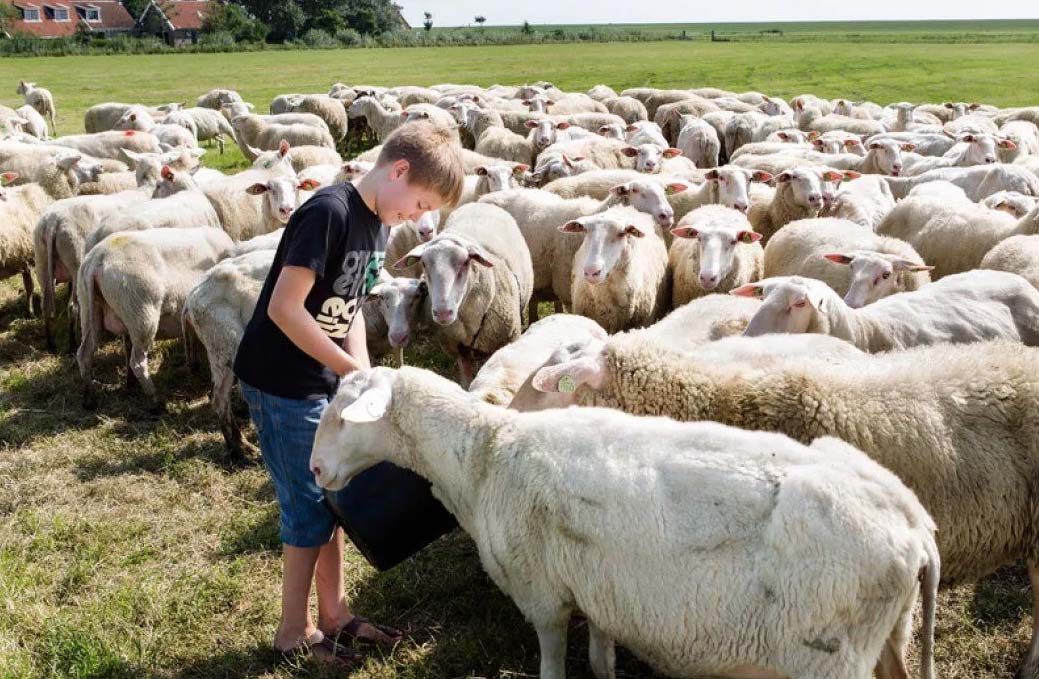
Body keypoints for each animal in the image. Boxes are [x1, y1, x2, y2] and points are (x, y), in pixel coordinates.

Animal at [77, 227, 235, 411]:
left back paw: (90, 398)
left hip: (89, 309)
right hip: (141, 313)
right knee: (137, 361)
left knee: (85, 353)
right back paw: (156, 401)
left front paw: (193, 366)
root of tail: (97, 259)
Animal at [311, 365, 940, 679]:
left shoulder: (544, 596)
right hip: (891, 634)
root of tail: (914, 529)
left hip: (826, 655)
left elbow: (553, 666)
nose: (315, 470)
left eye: (343, 418)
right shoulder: (599, 589)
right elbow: (602, 660)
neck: (483, 452)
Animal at [391, 203, 533, 384]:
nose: (443, 313)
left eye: (466, 262)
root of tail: (480, 203)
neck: (469, 322)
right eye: (424, 264)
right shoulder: (460, 349)